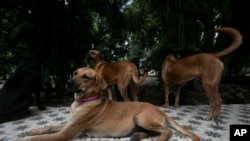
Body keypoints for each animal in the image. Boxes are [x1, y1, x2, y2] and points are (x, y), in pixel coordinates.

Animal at [15, 67, 199, 141]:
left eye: (86, 77)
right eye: (75, 72)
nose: (68, 82)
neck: (82, 102)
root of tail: (161, 111)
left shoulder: (66, 133)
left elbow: (41, 138)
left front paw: (25, 138)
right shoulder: (68, 124)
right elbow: (48, 127)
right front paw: (33, 130)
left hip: (141, 117)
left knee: (168, 131)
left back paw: (157, 138)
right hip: (141, 122)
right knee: (154, 131)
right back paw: (138, 136)